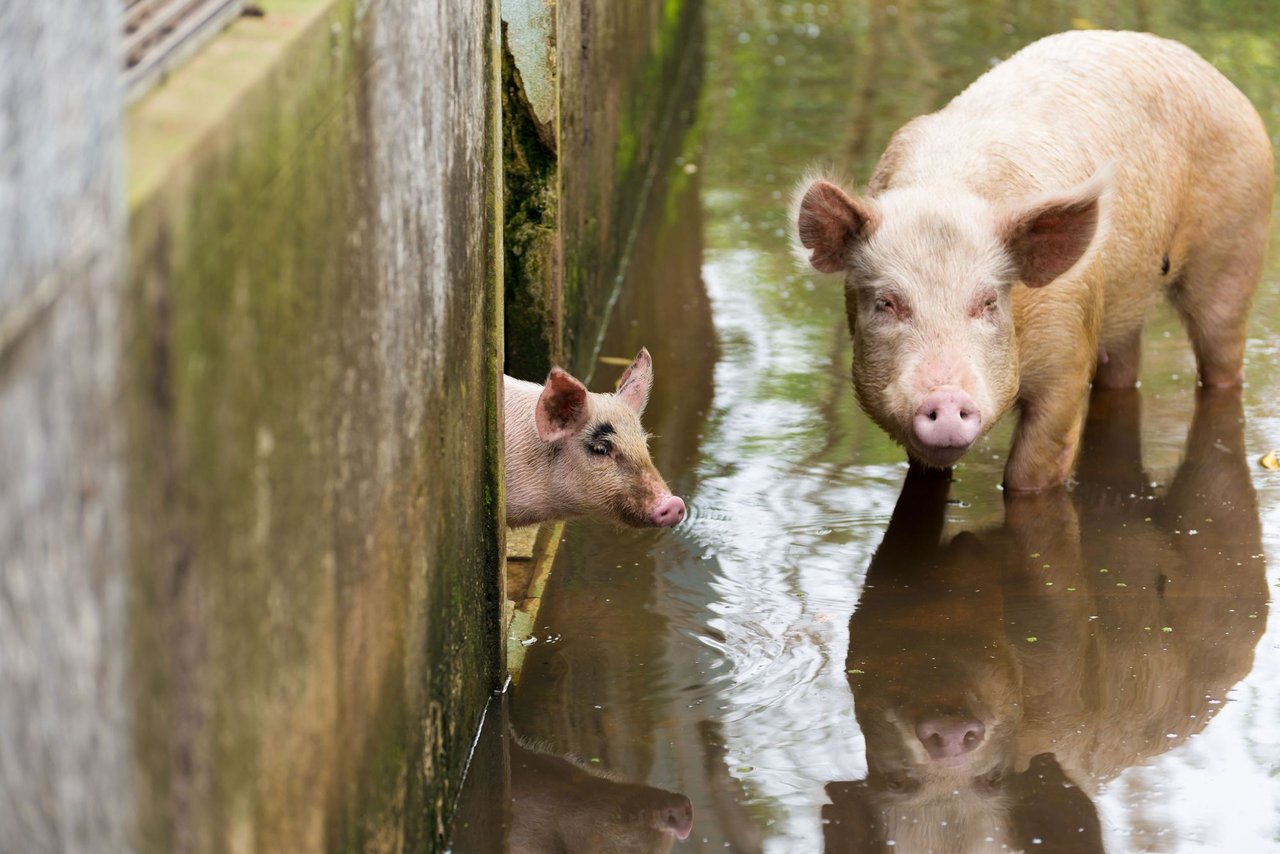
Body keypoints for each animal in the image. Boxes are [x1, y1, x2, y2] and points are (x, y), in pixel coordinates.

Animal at [793, 30, 1274, 491]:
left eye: (988, 302)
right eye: (887, 303)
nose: (946, 398)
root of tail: (1218, 78)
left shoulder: (1068, 347)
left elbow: (1032, 471)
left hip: (1236, 245)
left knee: (1222, 357)